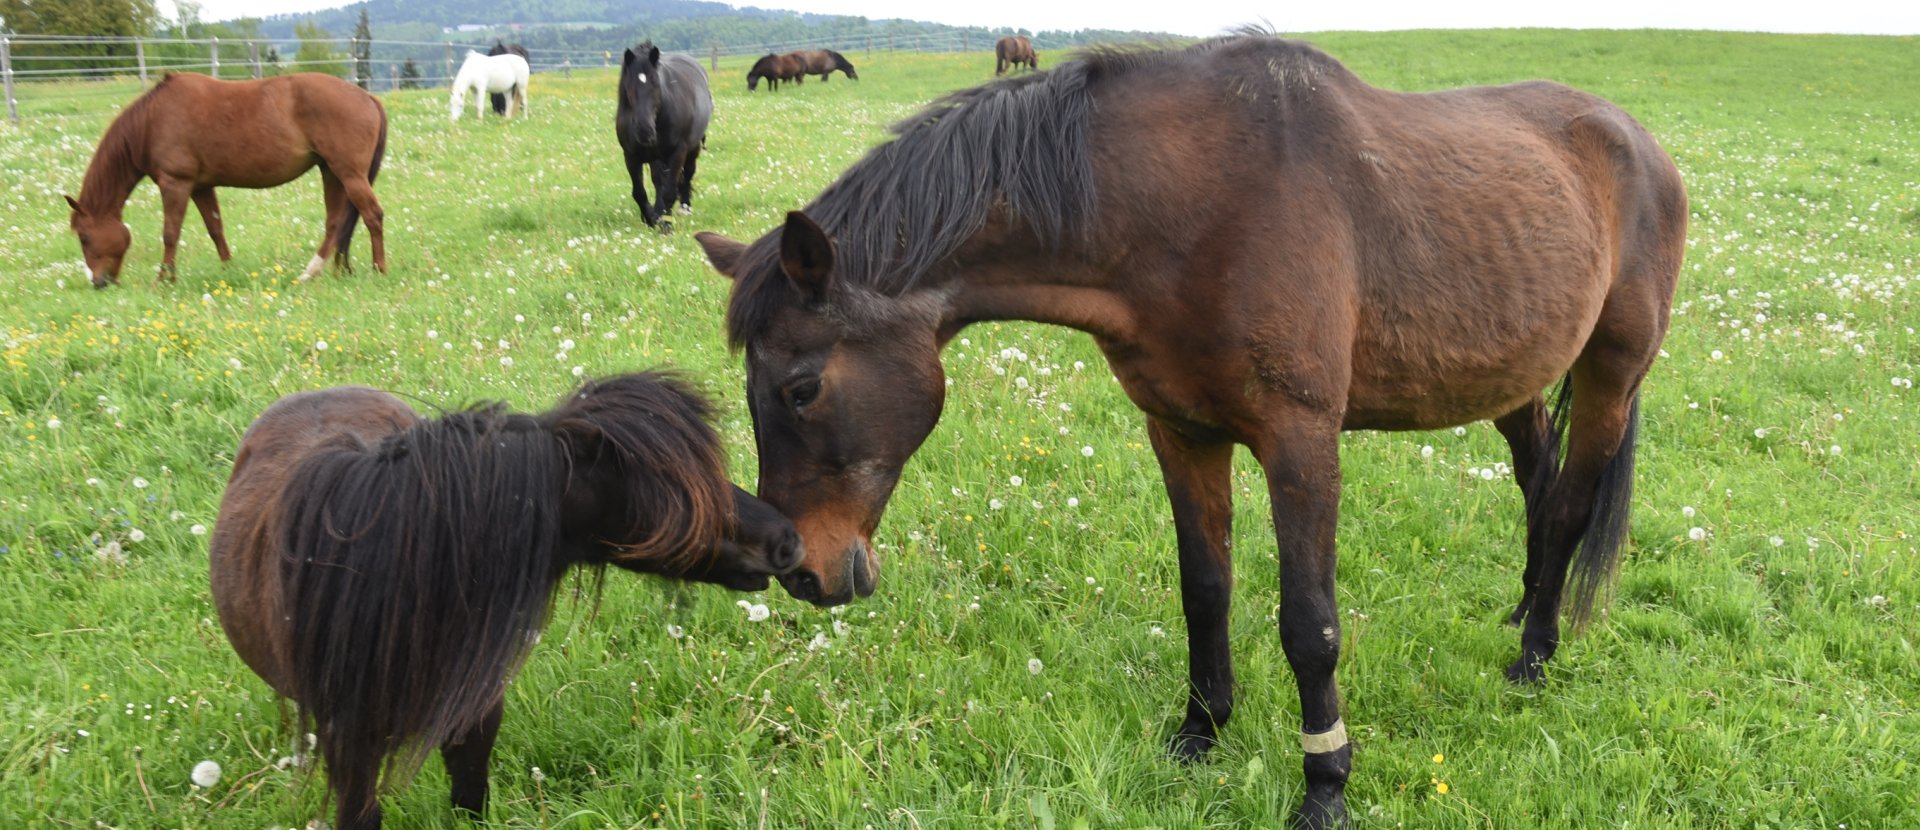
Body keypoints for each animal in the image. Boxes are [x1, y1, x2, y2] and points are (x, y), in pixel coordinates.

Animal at [64, 74, 385, 288]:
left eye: (84, 237)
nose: (99, 282)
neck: (151, 121)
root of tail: (368, 97)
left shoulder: (175, 184)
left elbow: (170, 234)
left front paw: (164, 279)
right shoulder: (201, 187)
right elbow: (215, 229)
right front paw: (228, 269)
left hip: (348, 173)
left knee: (372, 215)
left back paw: (378, 269)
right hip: (331, 172)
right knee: (337, 222)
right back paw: (324, 271)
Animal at [614, 42, 714, 226]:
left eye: (655, 84)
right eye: (629, 86)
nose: (644, 131)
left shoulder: (677, 152)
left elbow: (669, 191)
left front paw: (666, 225)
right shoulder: (631, 156)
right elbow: (639, 192)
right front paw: (651, 218)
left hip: (692, 148)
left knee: (687, 174)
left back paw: (684, 208)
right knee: (659, 180)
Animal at [698, 32, 1689, 830]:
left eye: (799, 387)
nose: (800, 568)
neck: (1194, 207)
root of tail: (1640, 141)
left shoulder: (1300, 441)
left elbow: (1309, 623)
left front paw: (1325, 782)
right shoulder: (1180, 432)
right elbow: (1204, 589)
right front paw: (1200, 732)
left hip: (1611, 372)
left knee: (1570, 504)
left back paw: (1535, 654)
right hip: (1510, 378)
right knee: (1539, 484)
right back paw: (1525, 608)